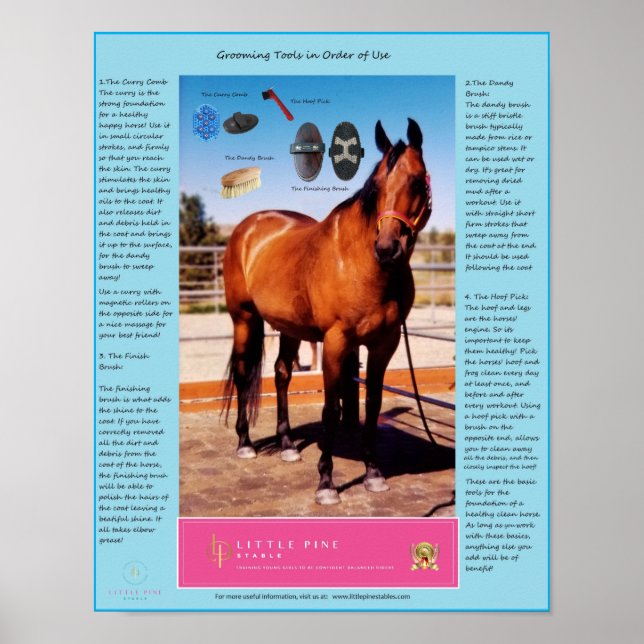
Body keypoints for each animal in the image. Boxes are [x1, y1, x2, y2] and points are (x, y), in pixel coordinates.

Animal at [222, 118, 433, 505]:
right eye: (376, 186)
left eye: (415, 181)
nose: (387, 248)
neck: (359, 262)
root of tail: (247, 228)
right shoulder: (336, 343)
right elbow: (332, 410)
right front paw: (326, 484)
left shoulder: (385, 344)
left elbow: (373, 404)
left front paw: (373, 474)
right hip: (244, 319)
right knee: (245, 374)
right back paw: (245, 443)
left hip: (289, 327)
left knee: (281, 374)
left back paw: (288, 445)